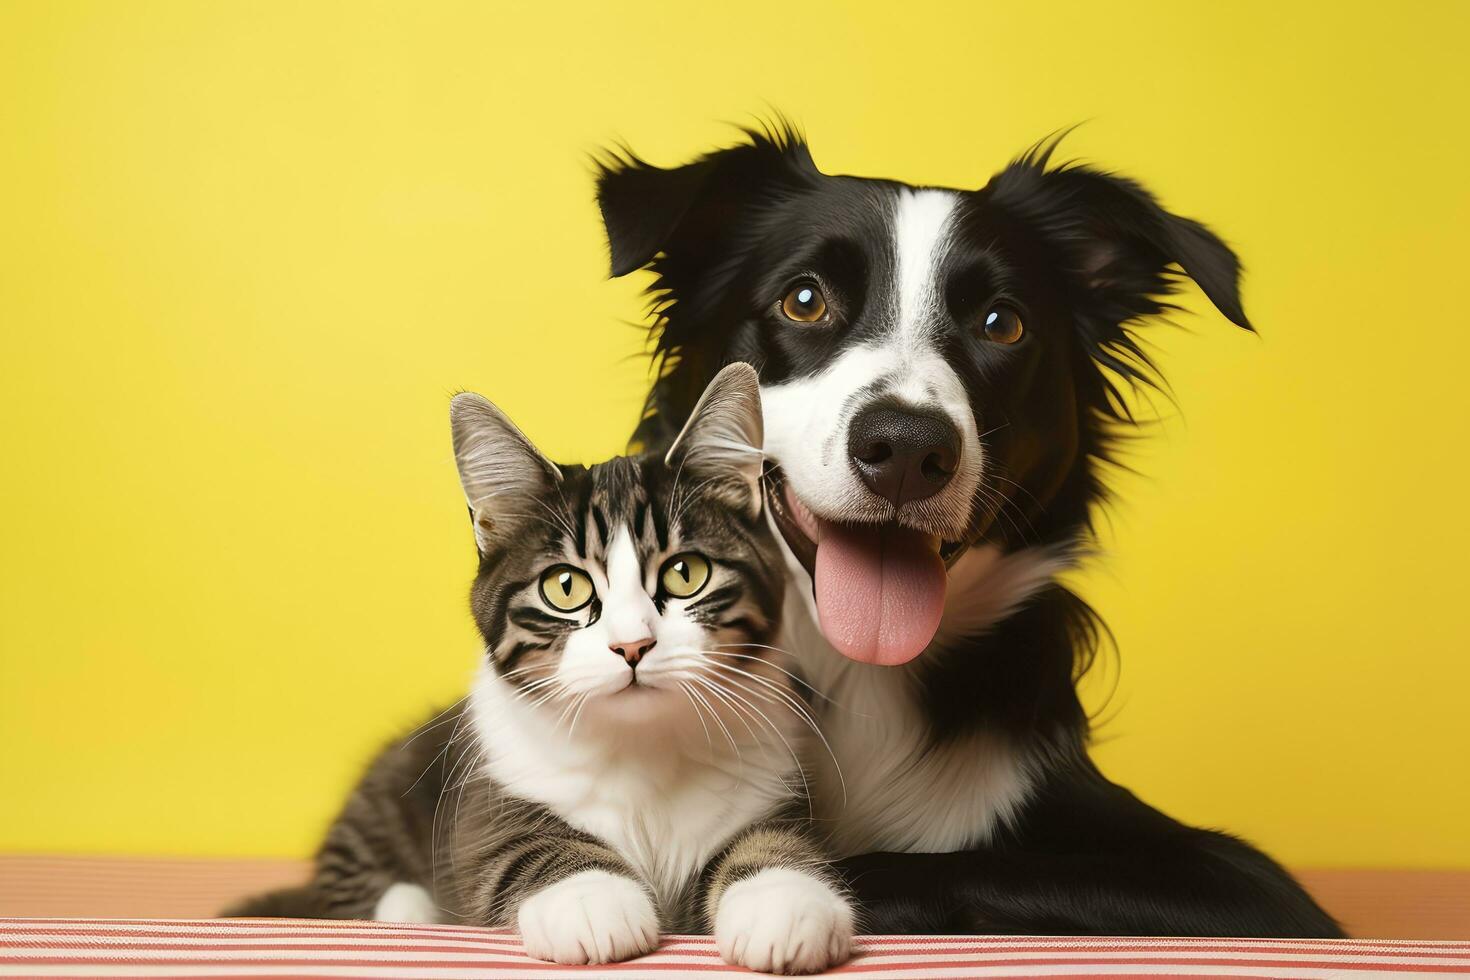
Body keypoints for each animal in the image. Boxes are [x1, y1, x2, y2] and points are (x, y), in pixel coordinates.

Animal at [226, 365, 852, 975]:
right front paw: (591, 900)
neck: (642, 745)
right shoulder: (487, 790)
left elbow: (770, 840)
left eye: (685, 573)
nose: (633, 645)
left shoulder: (770, 784)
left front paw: (783, 901)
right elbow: (519, 845)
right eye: (565, 586)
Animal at [596, 126, 1346, 940]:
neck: (856, 678)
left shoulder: (1259, 891)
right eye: (804, 300)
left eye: (1002, 323)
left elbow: (938, 864)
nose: (905, 448)